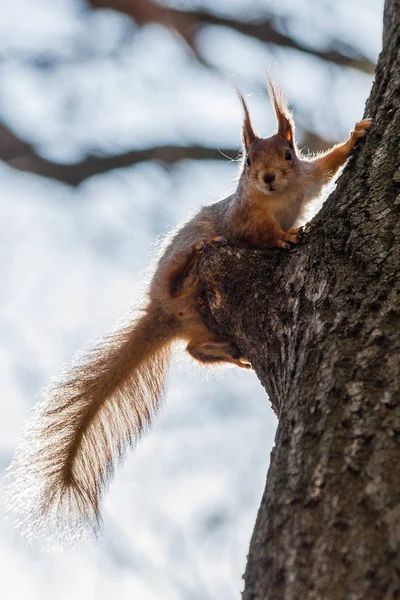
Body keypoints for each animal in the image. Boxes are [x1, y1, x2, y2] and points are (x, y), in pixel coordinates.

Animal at [7, 77, 372, 540]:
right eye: (248, 160)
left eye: (288, 154)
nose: (268, 177)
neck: (278, 198)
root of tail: (165, 312)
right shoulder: (243, 218)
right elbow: (259, 234)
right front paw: (284, 238)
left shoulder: (306, 180)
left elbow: (326, 168)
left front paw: (356, 136)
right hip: (176, 270)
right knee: (181, 282)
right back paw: (194, 262)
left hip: (204, 324)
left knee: (192, 350)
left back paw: (226, 352)